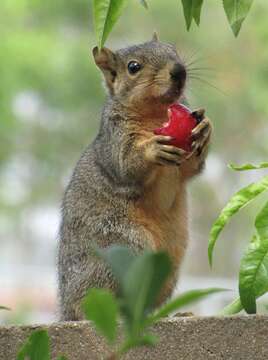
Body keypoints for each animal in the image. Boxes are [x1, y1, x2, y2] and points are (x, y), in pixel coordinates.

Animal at [57, 34, 213, 320]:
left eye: (173, 50)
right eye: (133, 67)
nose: (179, 70)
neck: (156, 114)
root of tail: (66, 310)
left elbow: (191, 168)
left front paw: (205, 128)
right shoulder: (115, 138)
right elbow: (126, 166)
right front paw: (152, 149)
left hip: (168, 263)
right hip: (124, 246)